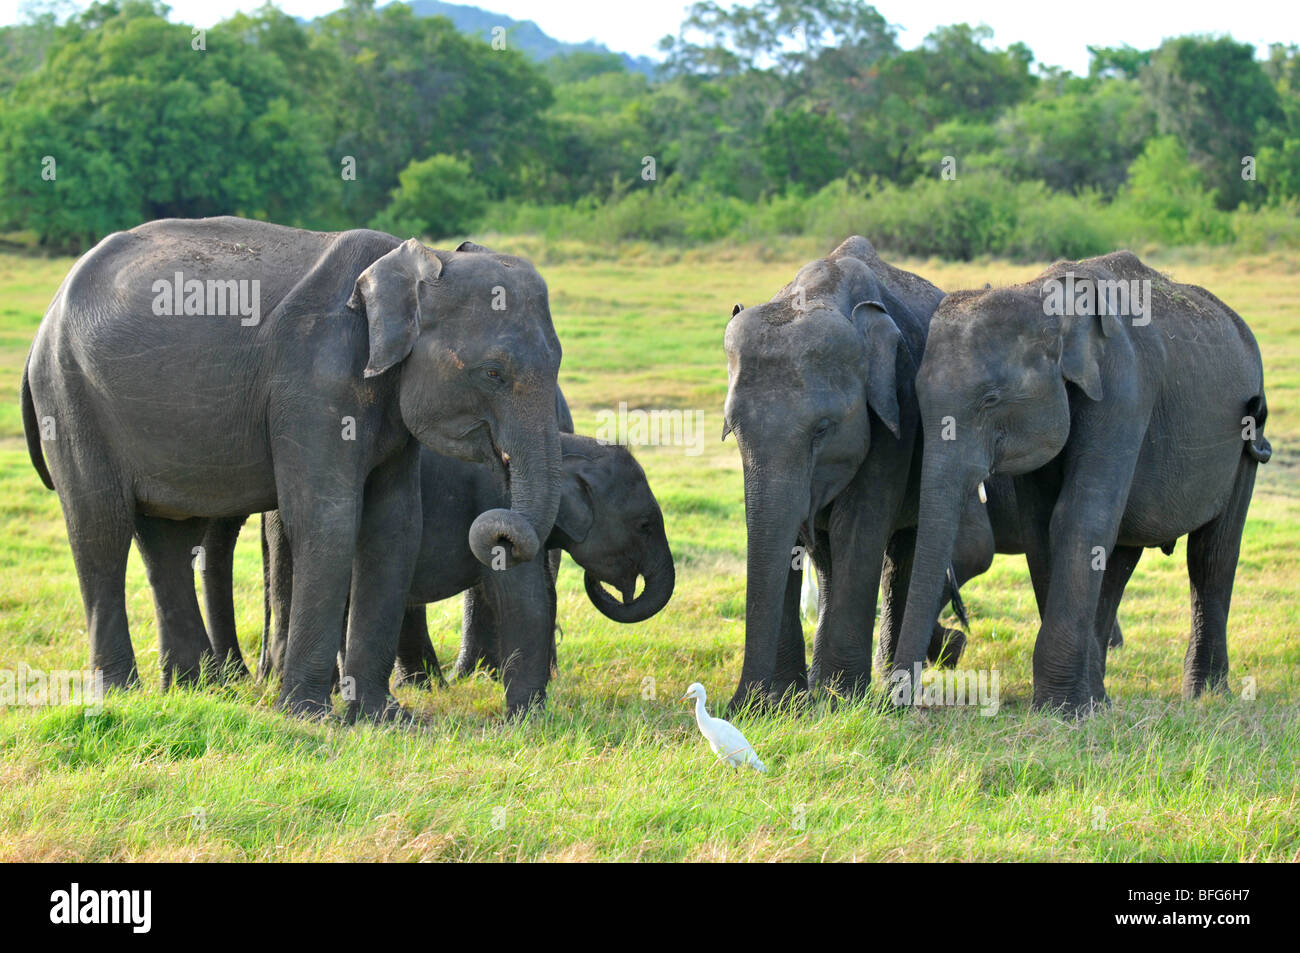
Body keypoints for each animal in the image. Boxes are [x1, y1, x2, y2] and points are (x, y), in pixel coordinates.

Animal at [19, 217, 559, 722]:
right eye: (493, 373)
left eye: (556, 363)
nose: (501, 533)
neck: (411, 265)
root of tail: (45, 320)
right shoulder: (313, 380)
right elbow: (328, 519)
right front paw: (307, 714)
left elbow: (395, 525)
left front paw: (383, 717)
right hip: (70, 396)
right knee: (99, 527)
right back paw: (121, 694)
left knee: (167, 538)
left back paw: (194, 690)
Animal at [894, 249, 1268, 712]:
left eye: (991, 399)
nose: (900, 703)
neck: (1045, 298)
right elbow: (1042, 530)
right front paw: (1078, 706)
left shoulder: (1125, 390)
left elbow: (1076, 518)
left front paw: (1062, 709)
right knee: (1120, 561)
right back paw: (1103, 696)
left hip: (1246, 441)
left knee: (1212, 556)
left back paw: (1207, 694)